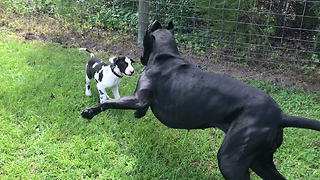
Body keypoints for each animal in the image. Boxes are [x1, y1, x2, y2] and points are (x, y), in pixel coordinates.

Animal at [82, 20, 320, 179]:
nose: (138, 60)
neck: (166, 56)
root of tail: (280, 115)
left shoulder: (139, 98)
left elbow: (107, 102)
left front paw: (89, 112)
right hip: (261, 161)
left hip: (231, 160)